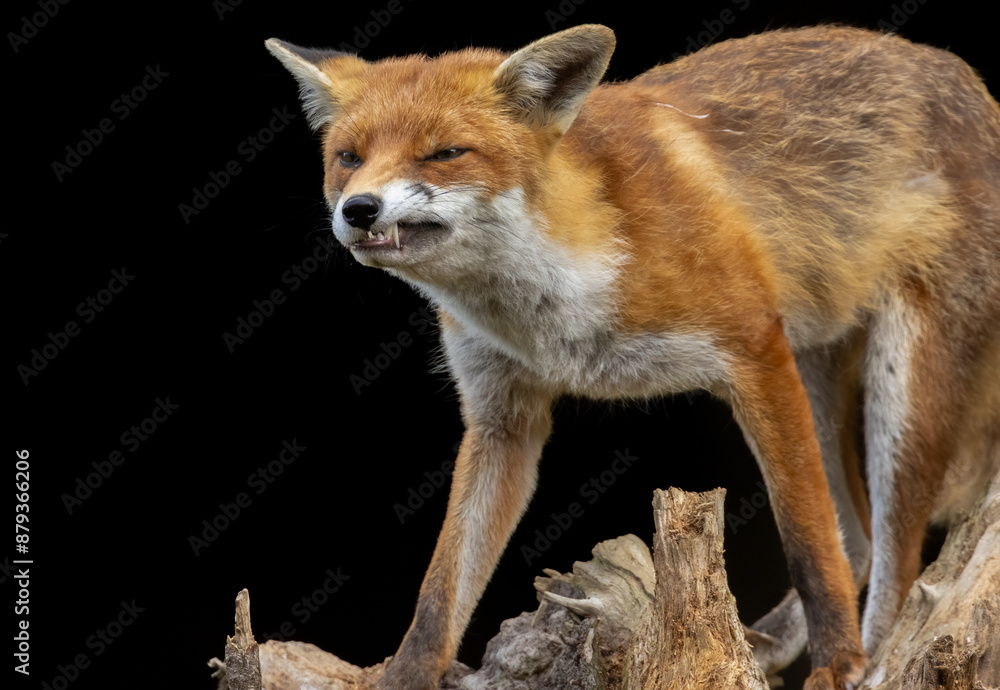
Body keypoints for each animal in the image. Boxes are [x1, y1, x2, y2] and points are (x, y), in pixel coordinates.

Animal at [265, 23, 1000, 690]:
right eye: (349, 157)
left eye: (445, 153)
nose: (359, 209)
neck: (558, 300)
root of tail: (976, 88)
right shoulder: (502, 419)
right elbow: (442, 588)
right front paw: (407, 674)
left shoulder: (754, 350)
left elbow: (808, 545)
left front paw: (839, 663)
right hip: (814, 370)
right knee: (860, 535)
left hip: (898, 393)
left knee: (895, 561)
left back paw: (865, 662)